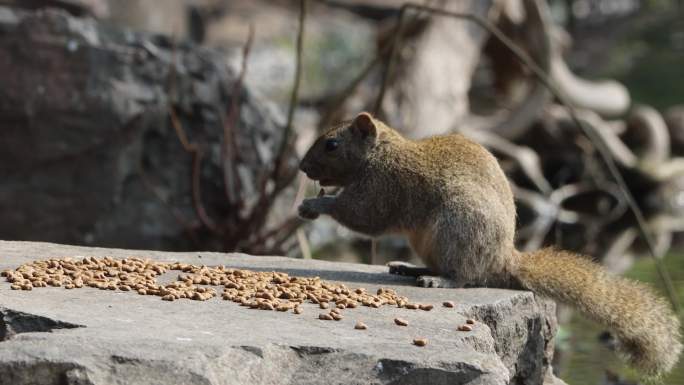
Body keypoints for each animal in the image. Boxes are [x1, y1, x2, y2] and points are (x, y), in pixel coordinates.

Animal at [300, 110, 684, 376]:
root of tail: (504, 259)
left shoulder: (383, 187)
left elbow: (363, 216)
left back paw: (439, 280)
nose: (302, 167)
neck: (381, 152)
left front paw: (315, 205)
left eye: (331, 144)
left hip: (459, 226)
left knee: (466, 276)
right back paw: (410, 267)